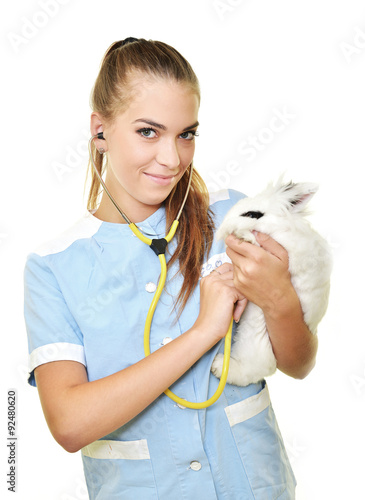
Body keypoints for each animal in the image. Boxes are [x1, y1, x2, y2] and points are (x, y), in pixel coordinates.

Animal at [209, 180, 332, 386]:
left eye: (253, 214)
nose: (224, 228)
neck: (278, 227)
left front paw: (244, 237)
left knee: (252, 369)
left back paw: (218, 366)